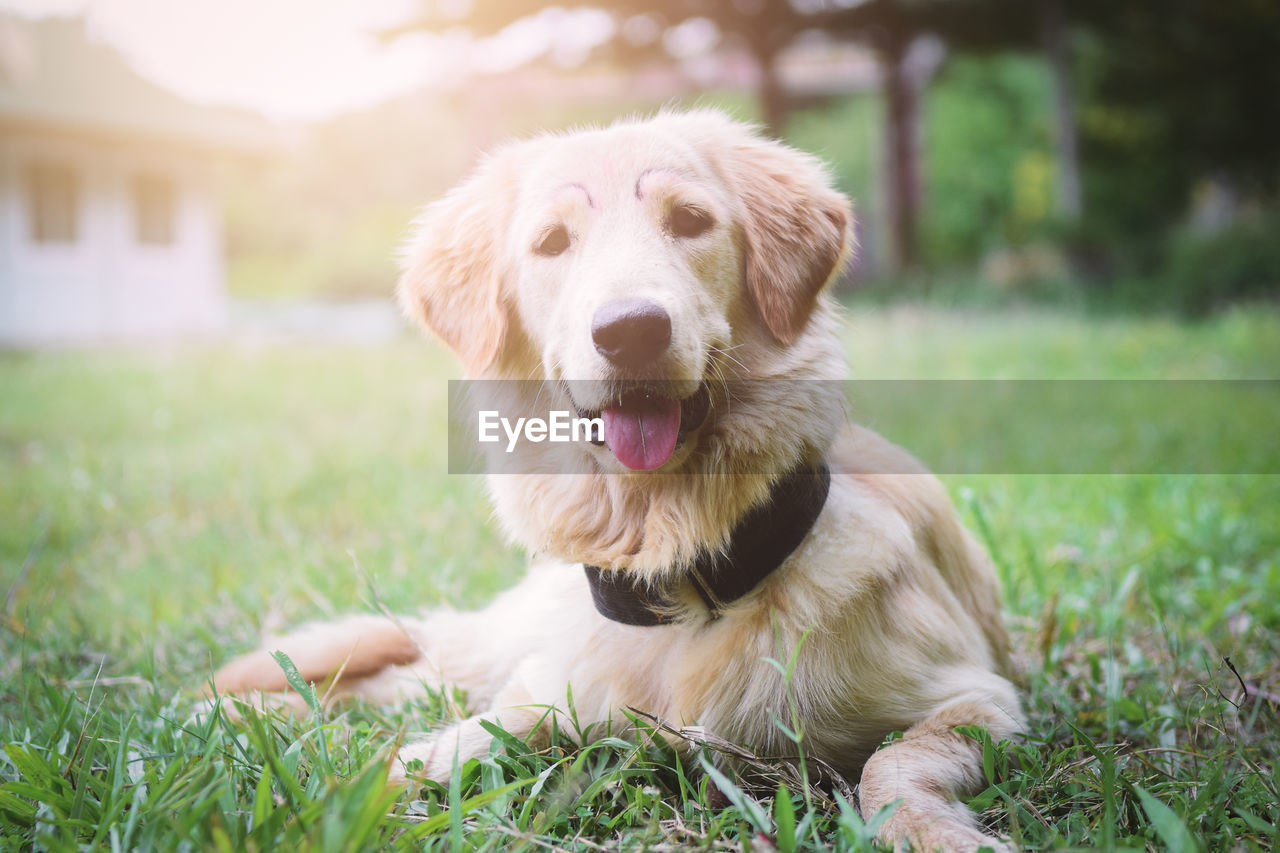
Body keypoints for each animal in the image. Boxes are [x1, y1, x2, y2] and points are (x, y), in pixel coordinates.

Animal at [215, 111, 1024, 850]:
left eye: (690, 220)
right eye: (552, 241)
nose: (631, 330)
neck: (682, 576)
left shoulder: (982, 701)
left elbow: (892, 765)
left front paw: (934, 834)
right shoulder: (547, 694)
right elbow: (423, 756)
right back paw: (243, 713)